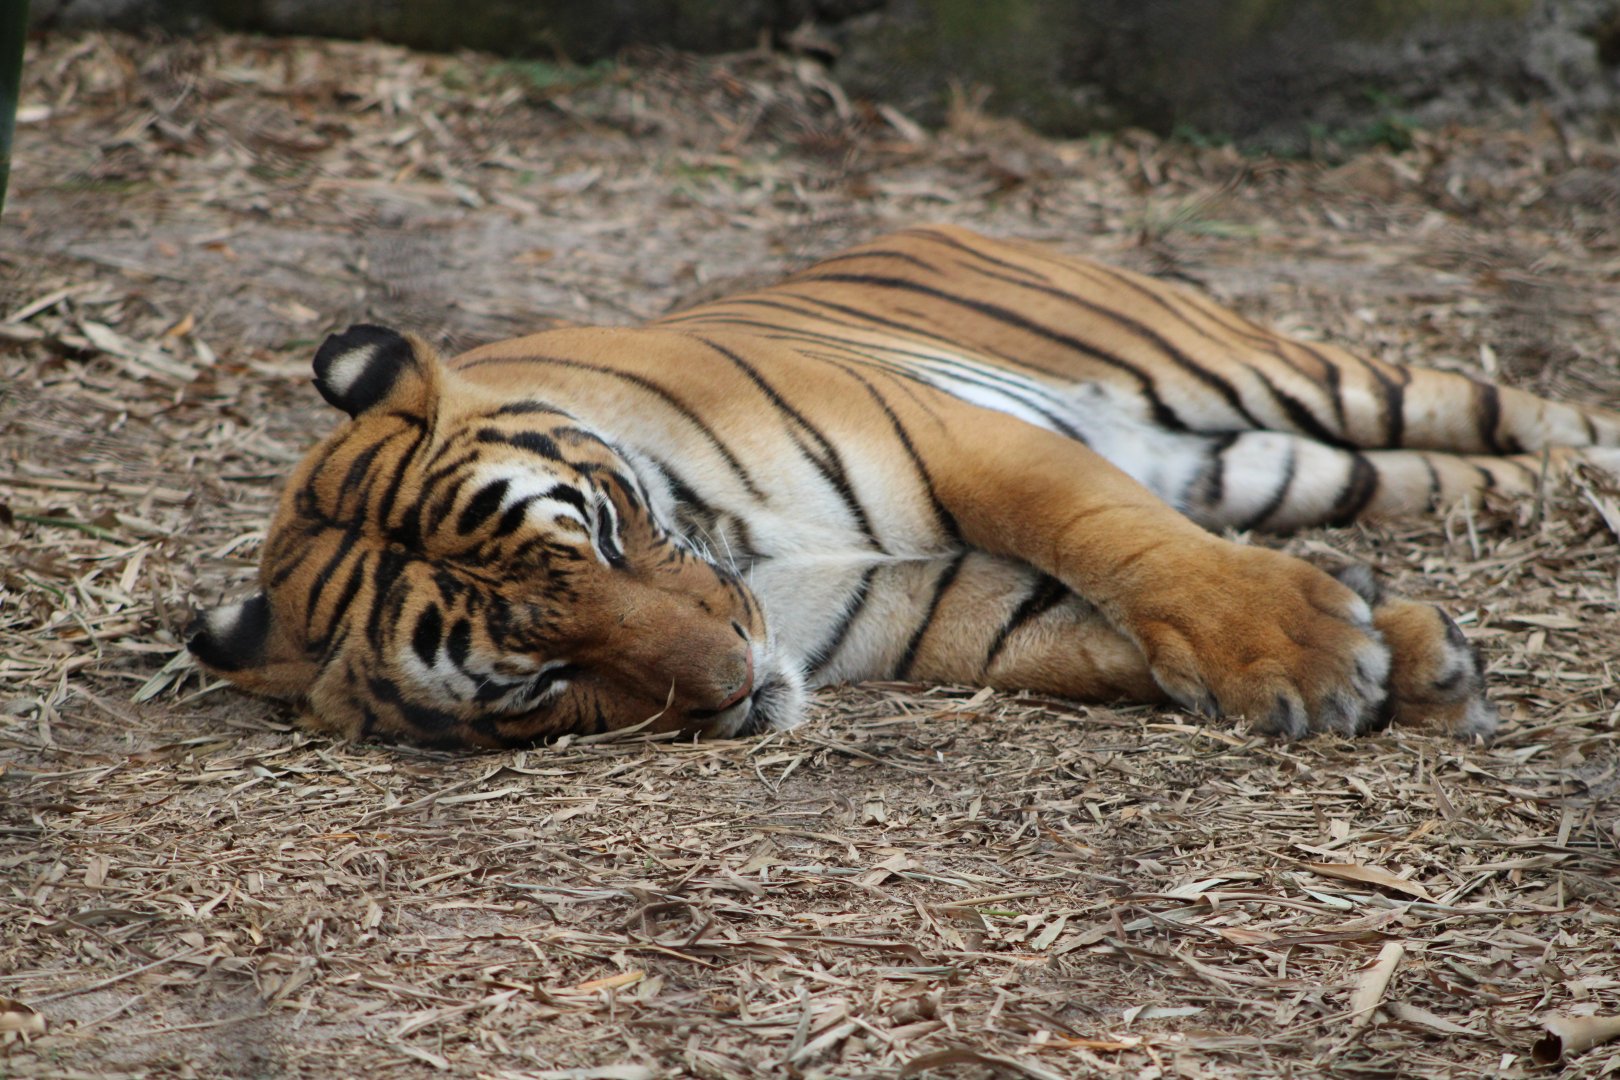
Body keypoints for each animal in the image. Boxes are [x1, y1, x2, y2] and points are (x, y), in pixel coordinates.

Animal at [187, 225, 1620, 749]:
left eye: (596, 530)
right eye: (538, 682)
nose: (735, 684)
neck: (746, 564)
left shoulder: (961, 440)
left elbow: (1116, 539)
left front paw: (1310, 651)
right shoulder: (909, 611)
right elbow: (1069, 632)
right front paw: (1410, 658)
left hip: (1271, 371)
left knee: (1511, 407)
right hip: (1275, 463)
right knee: (1439, 471)